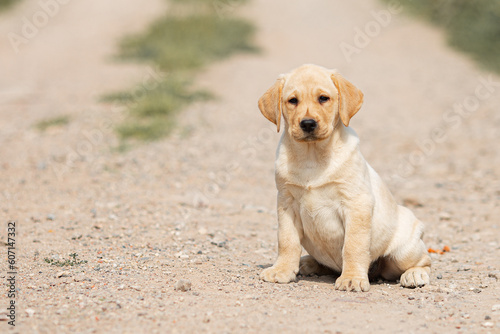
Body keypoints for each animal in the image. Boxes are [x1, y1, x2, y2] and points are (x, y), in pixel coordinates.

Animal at [258, 64, 430, 290]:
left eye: (323, 98)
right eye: (293, 100)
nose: (308, 124)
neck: (312, 156)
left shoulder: (356, 203)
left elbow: (353, 245)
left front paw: (352, 278)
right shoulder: (286, 203)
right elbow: (286, 241)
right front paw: (282, 270)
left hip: (404, 250)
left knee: (425, 261)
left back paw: (415, 275)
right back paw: (307, 263)